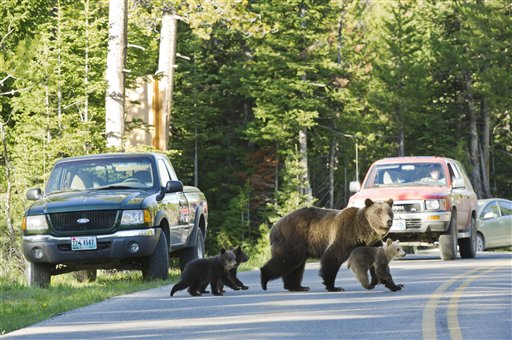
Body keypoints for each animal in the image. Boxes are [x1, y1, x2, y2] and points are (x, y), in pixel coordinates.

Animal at [262, 199, 394, 292]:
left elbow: (380, 264)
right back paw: (264, 279)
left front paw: (386, 283)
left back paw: (298, 287)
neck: (362, 233)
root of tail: (274, 226)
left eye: (389, 212)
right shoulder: (344, 235)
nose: (389, 221)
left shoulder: (373, 244)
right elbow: (332, 258)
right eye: (379, 212)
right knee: (286, 260)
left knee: (296, 266)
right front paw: (334, 287)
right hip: (293, 238)